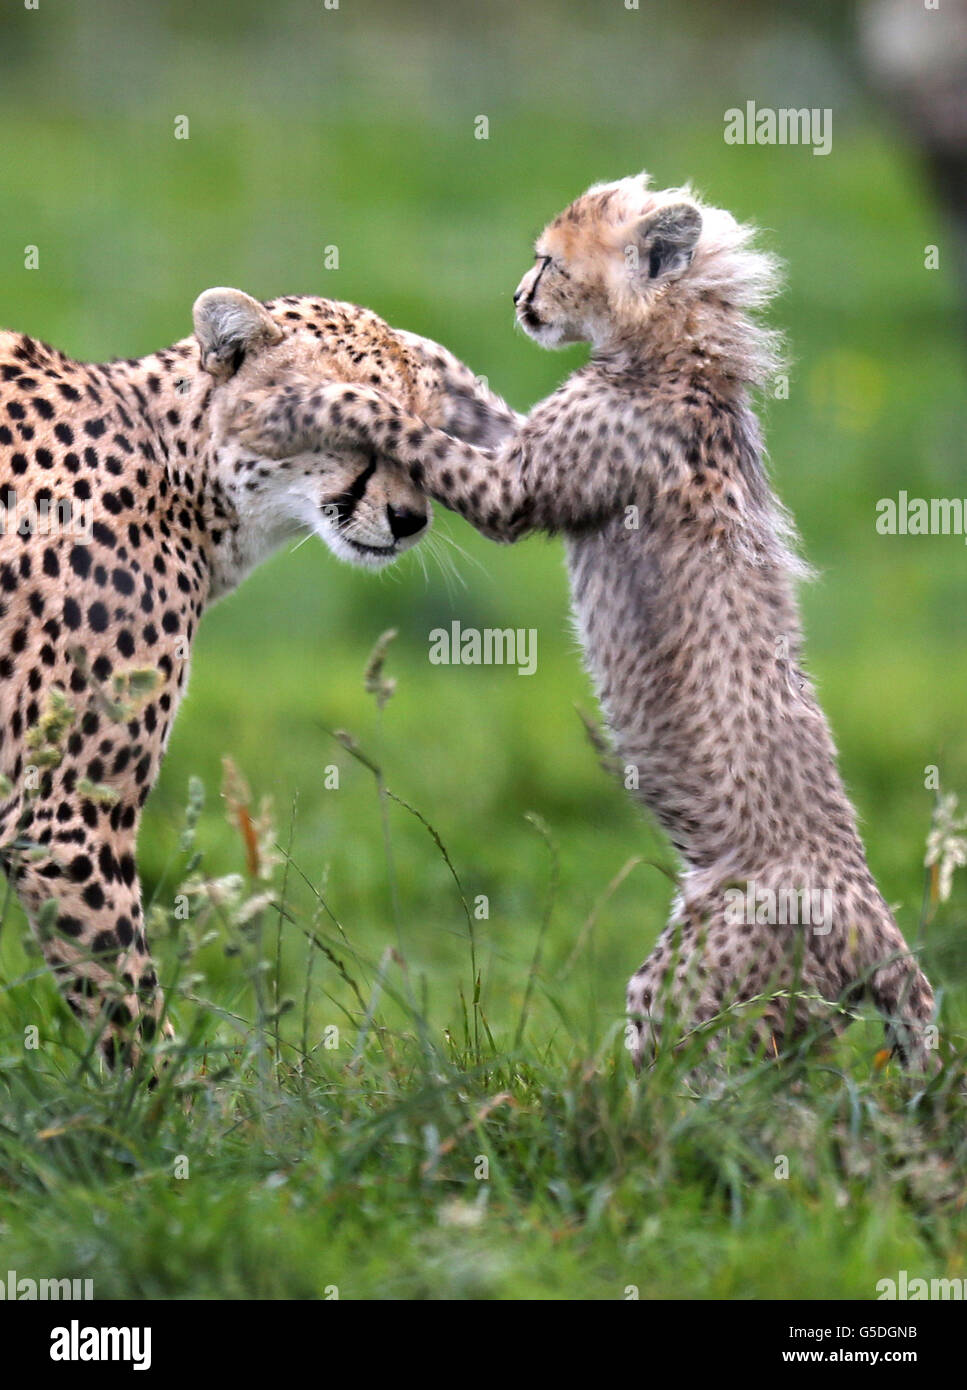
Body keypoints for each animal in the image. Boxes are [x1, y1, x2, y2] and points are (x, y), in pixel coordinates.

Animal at [0, 284, 516, 1061]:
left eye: (427, 434)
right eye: (356, 426)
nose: (410, 520)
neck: (181, 473)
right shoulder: (63, 819)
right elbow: (131, 1015)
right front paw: (163, 1094)